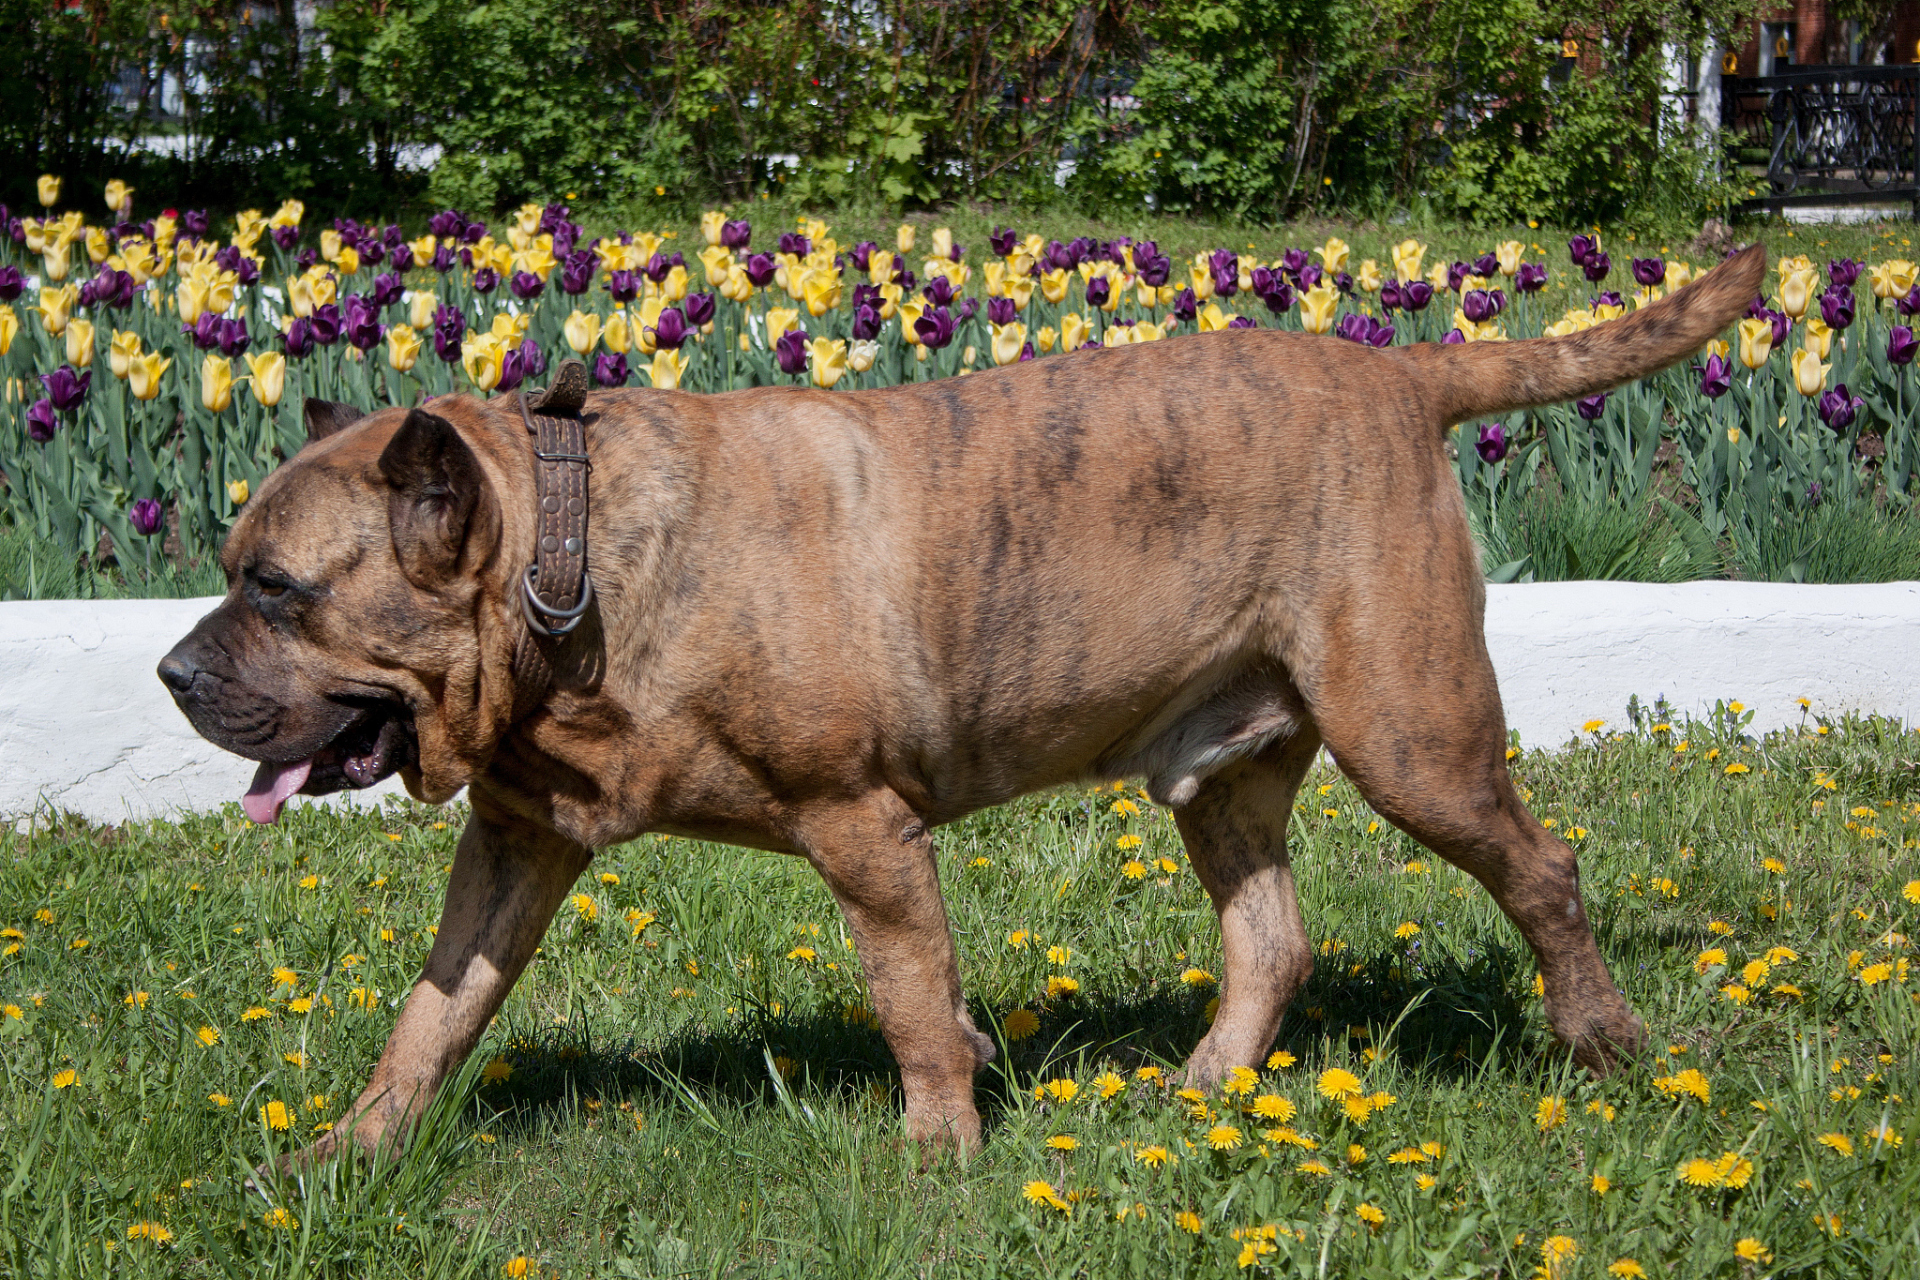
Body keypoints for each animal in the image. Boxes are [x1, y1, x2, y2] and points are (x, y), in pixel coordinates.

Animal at [161, 239, 1766, 1159]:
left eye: (277, 591)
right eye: (237, 571)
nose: (173, 671)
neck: (570, 563)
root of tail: (1404, 377)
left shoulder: (862, 825)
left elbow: (912, 999)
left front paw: (939, 1153)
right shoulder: (515, 841)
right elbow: (434, 1011)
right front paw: (347, 1154)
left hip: (1415, 735)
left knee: (1541, 865)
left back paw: (1602, 1039)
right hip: (1224, 769)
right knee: (1270, 937)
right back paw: (1200, 1088)